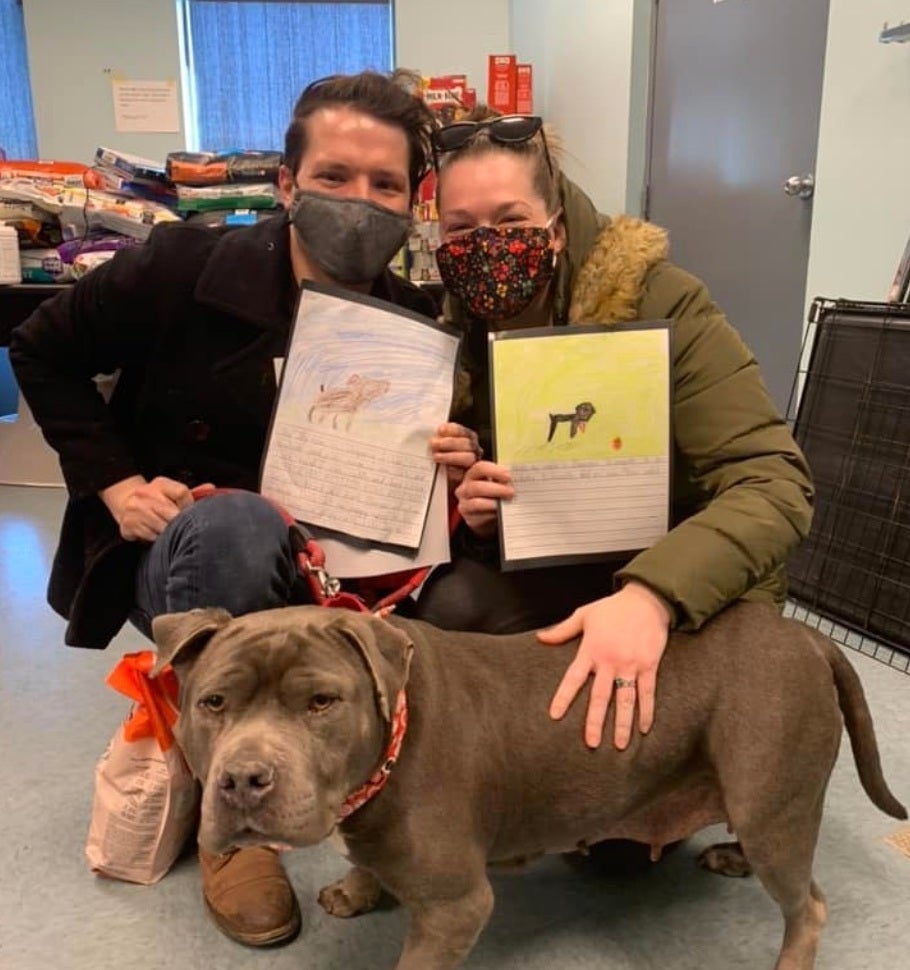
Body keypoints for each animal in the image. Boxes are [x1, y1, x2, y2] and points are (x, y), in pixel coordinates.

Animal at [153, 600, 908, 964]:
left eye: (320, 703)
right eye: (212, 703)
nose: (244, 779)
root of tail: (806, 636)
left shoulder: (456, 907)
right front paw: (358, 888)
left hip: (768, 796)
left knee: (807, 906)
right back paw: (730, 856)